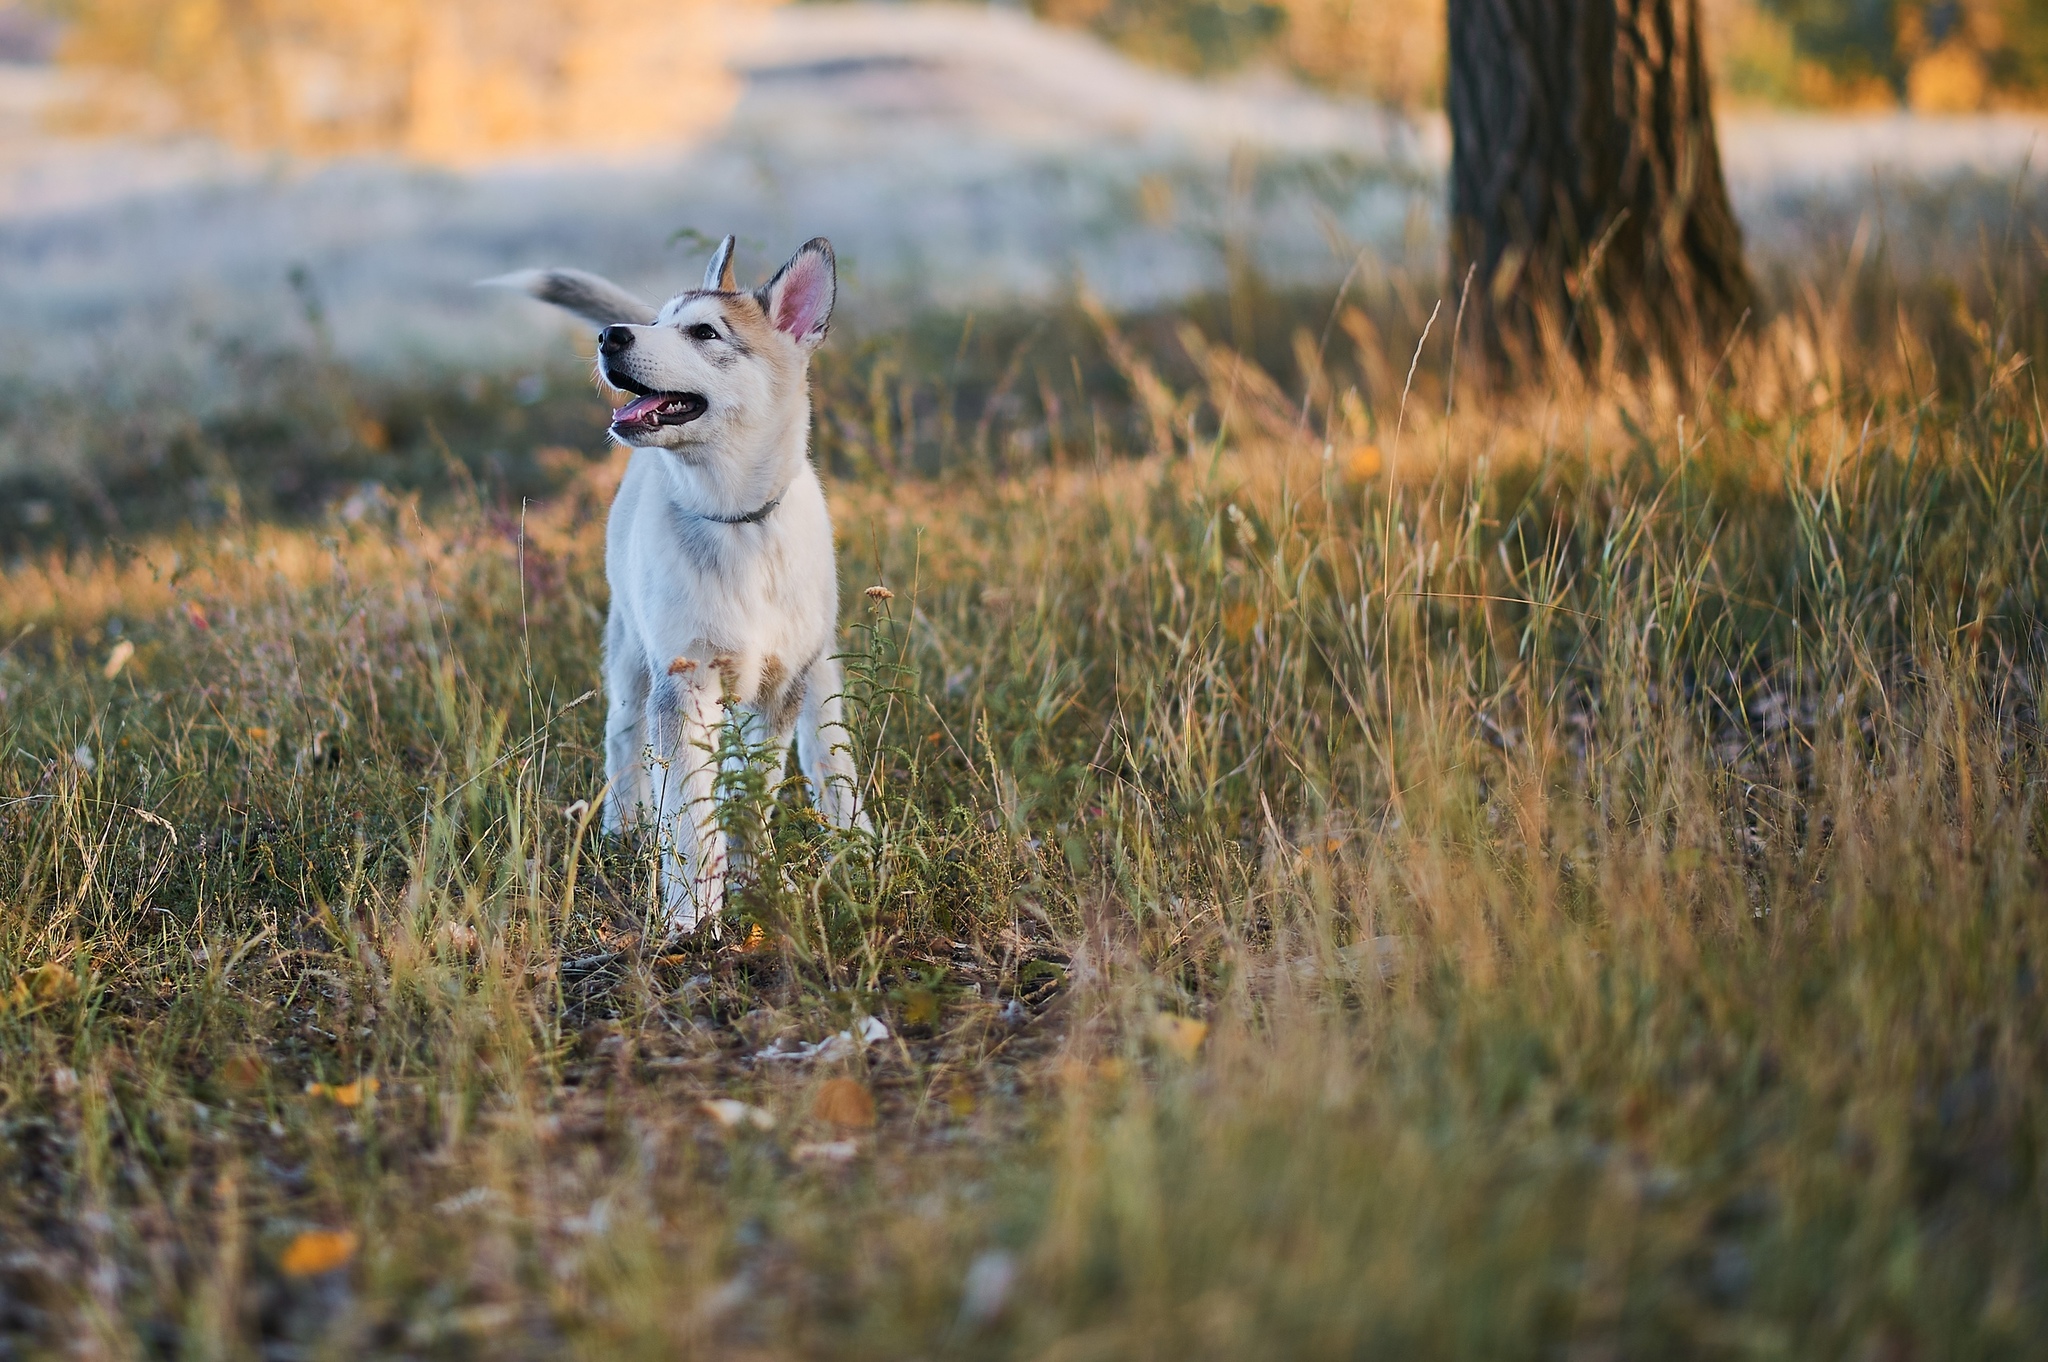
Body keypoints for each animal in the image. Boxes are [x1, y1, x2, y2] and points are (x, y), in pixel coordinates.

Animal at [495, 236, 864, 933]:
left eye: (704, 332)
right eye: (661, 320)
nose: (612, 334)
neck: (735, 523)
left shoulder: (779, 685)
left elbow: (752, 793)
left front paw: (751, 881)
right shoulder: (682, 682)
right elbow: (689, 818)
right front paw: (692, 917)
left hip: (816, 655)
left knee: (824, 737)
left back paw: (852, 828)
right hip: (630, 651)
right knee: (624, 736)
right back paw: (625, 827)